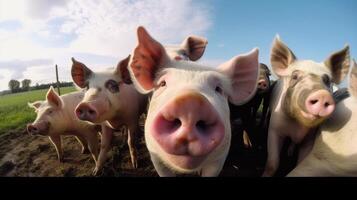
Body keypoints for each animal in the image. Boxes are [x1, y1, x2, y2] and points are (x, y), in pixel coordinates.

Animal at [262, 36, 350, 177]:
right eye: (295, 76)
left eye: (327, 80)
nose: (322, 94)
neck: (298, 126)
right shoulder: (275, 129)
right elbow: (273, 163)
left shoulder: (309, 139)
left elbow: (300, 162)